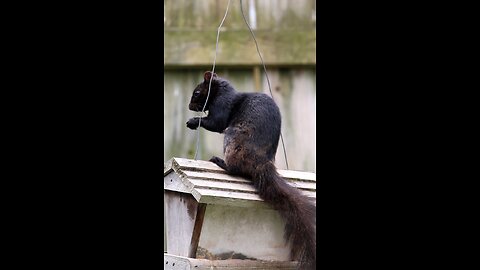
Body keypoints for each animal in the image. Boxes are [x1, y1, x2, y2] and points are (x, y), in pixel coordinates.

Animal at [187, 71, 316, 268]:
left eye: (197, 92)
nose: (189, 106)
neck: (222, 91)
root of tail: (262, 164)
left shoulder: (222, 106)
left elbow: (215, 123)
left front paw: (194, 121)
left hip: (232, 137)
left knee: (235, 169)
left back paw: (220, 162)